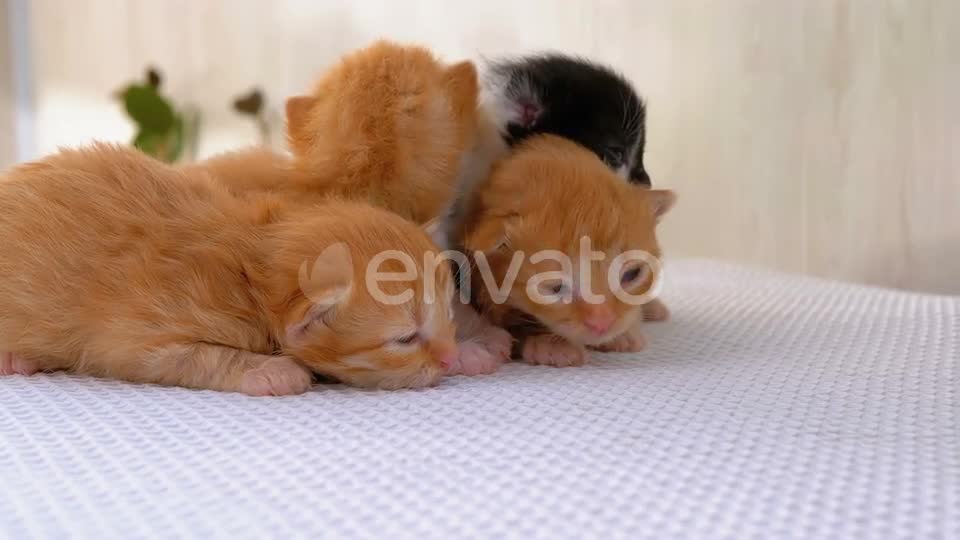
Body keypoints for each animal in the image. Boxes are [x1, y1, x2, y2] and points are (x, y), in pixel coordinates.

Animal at [0, 146, 460, 394]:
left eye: (450, 315)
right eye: (405, 338)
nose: (449, 358)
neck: (249, 263)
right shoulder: (137, 336)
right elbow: (200, 357)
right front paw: (272, 370)